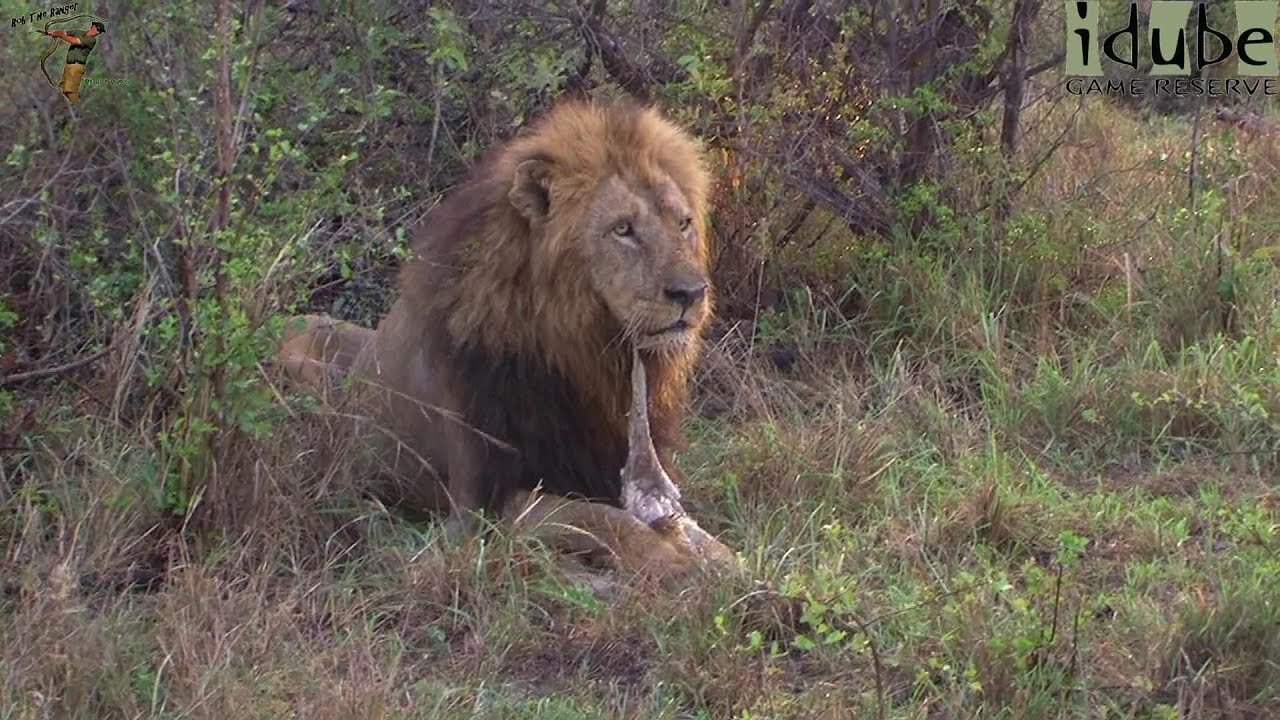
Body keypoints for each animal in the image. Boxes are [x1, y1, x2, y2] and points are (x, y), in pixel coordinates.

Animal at [281, 94, 742, 576]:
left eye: (683, 223)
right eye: (622, 229)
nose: (691, 293)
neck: (586, 357)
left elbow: (687, 526)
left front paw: (732, 564)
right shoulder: (479, 507)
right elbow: (602, 519)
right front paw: (673, 564)